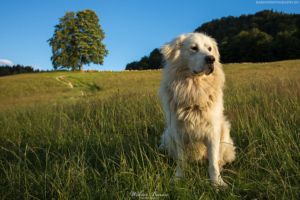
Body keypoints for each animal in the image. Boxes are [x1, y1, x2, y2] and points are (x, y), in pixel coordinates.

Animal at [158, 31, 236, 186]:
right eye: (194, 48)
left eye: (209, 48)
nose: (211, 59)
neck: (195, 87)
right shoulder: (177, 131)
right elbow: (181, 161)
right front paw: (178, 178)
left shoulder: (213, 130)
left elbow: (213, 163)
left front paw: (217, 182)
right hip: (168, 135)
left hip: (224, 129)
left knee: (219, 159)